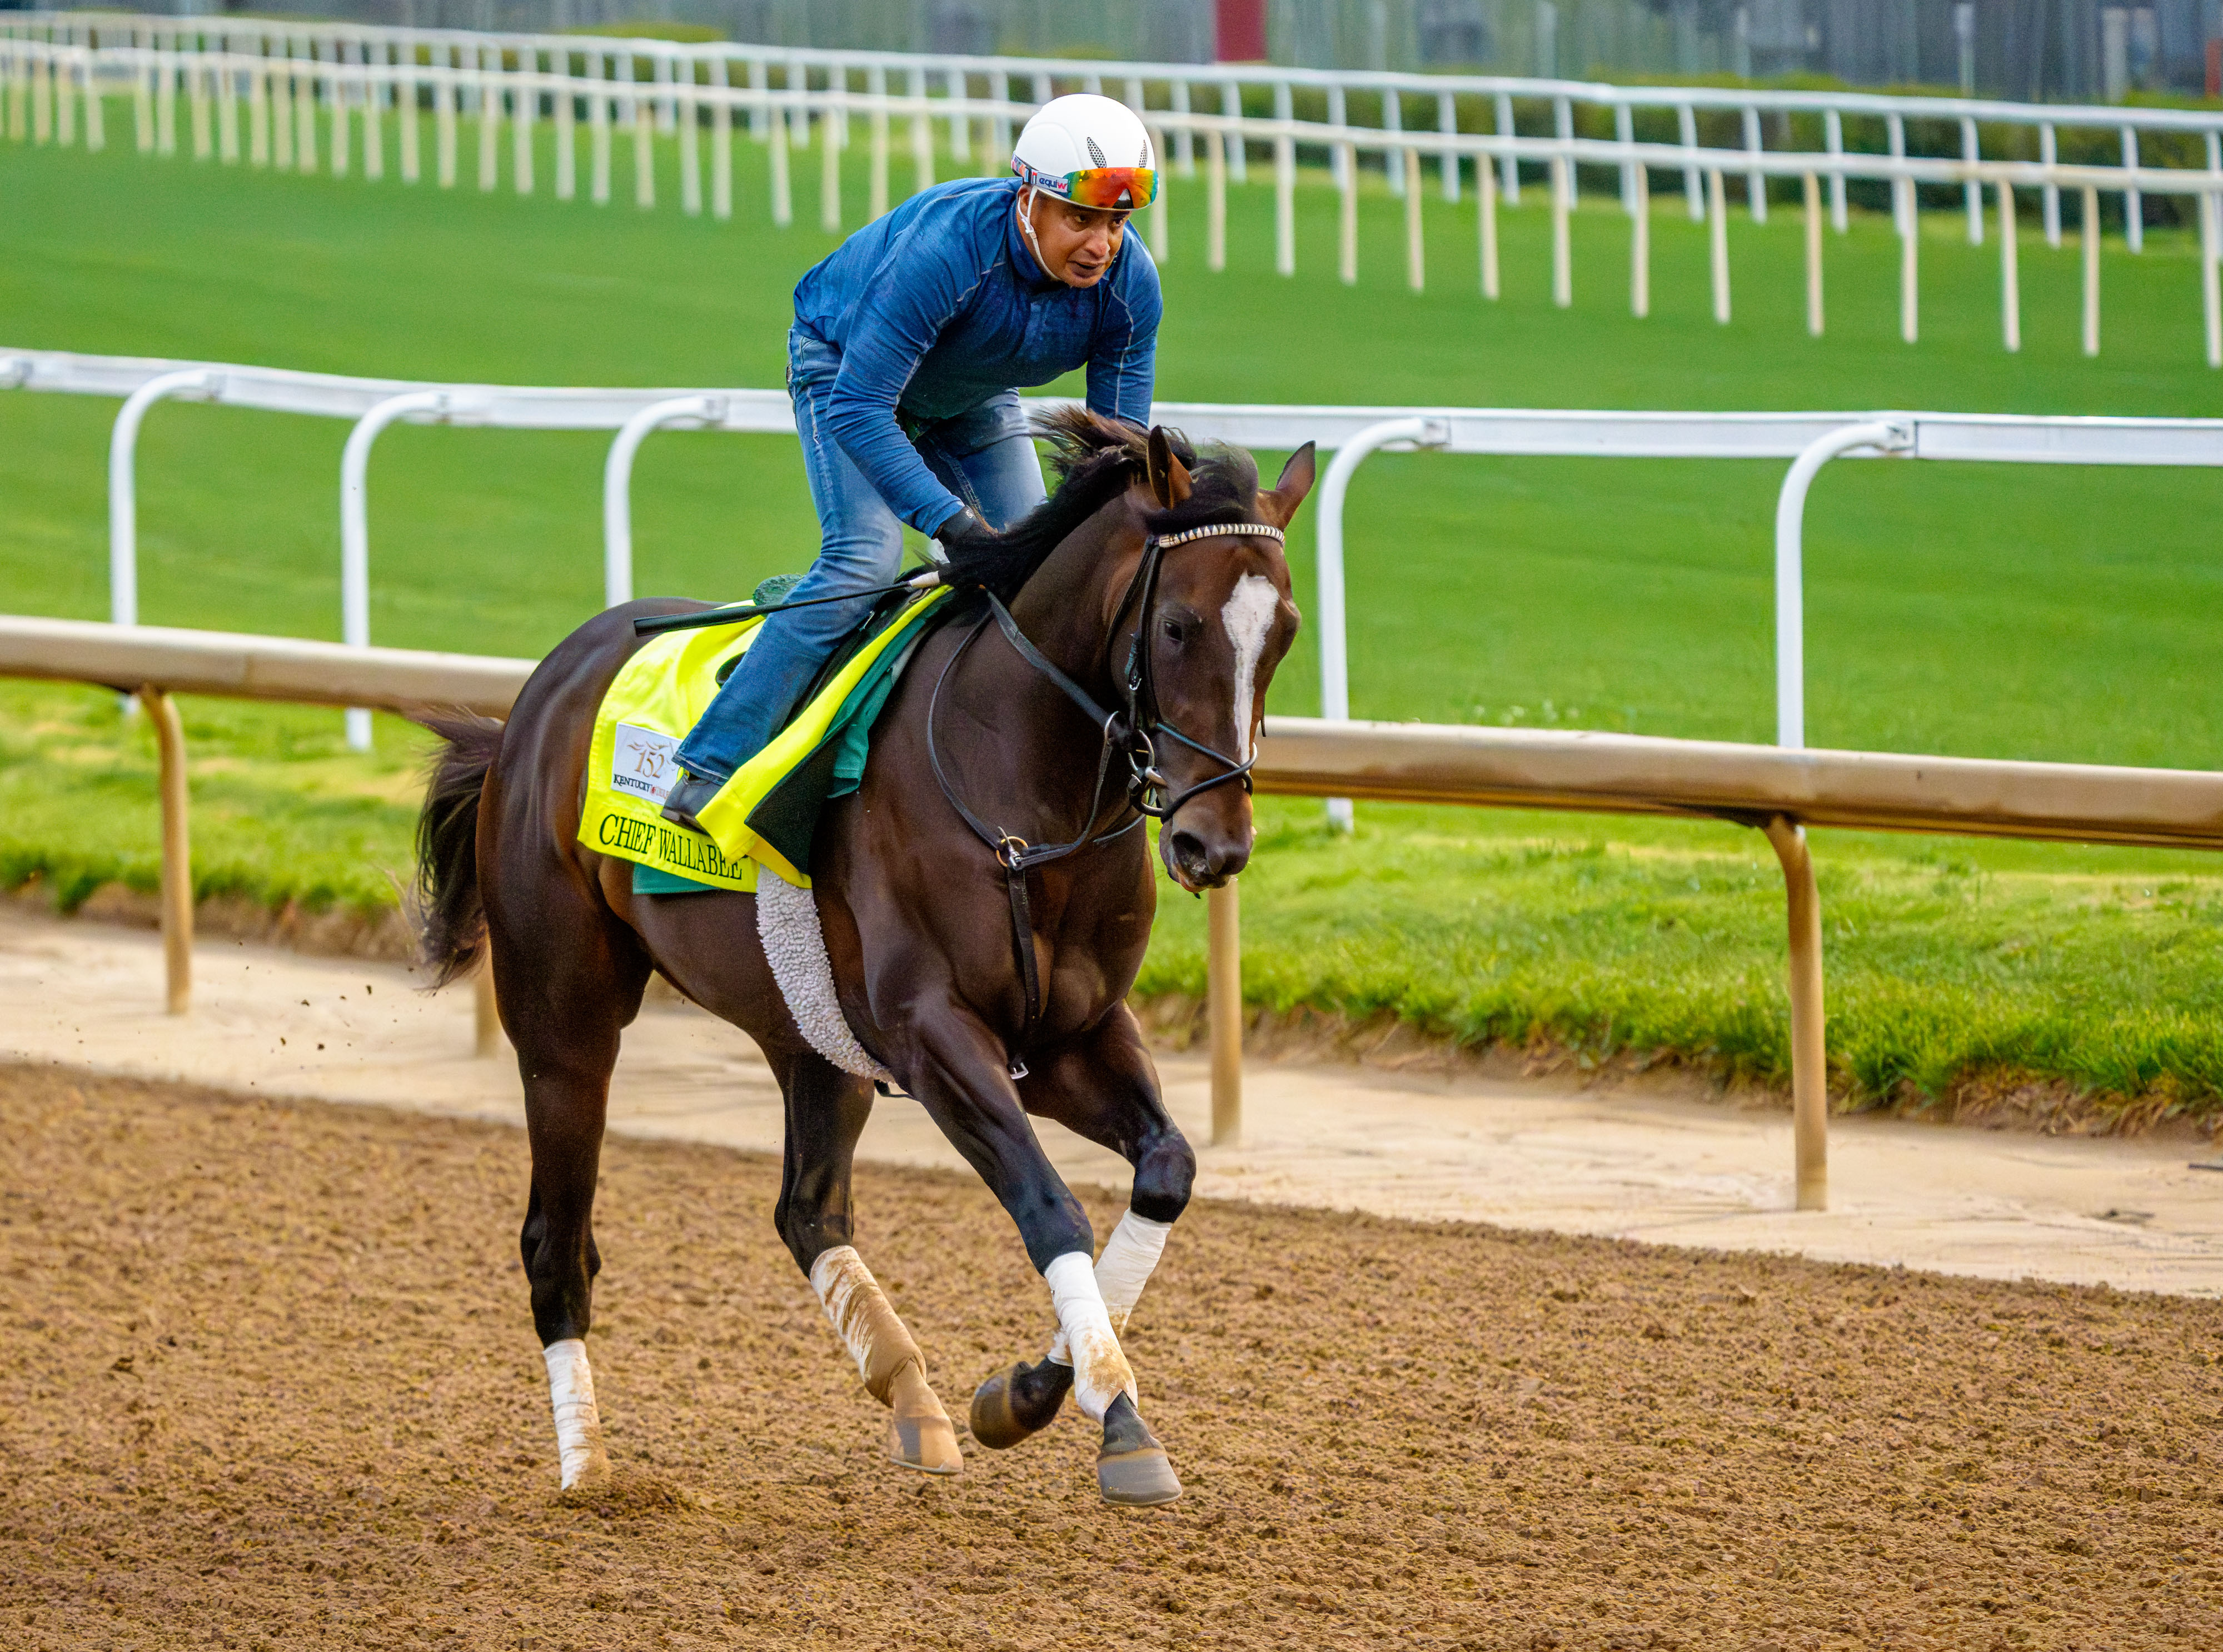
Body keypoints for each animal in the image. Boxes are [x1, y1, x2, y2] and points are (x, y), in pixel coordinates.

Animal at [411, 411, 1312, 1506]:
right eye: (1179, 624)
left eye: (1284, 632)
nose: (1212, 844)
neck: (1024, 789)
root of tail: (534, 698)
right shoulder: (934, 1035)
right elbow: (1049, 1204)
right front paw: (1118, 1420)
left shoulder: (1071, 1034)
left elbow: (1167, 1169)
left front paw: (1025, 1391)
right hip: (563, 1017)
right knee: (557, 1241)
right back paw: (589, 1469)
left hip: (809, 1031)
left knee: (807, 1210)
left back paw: (913, 1397)